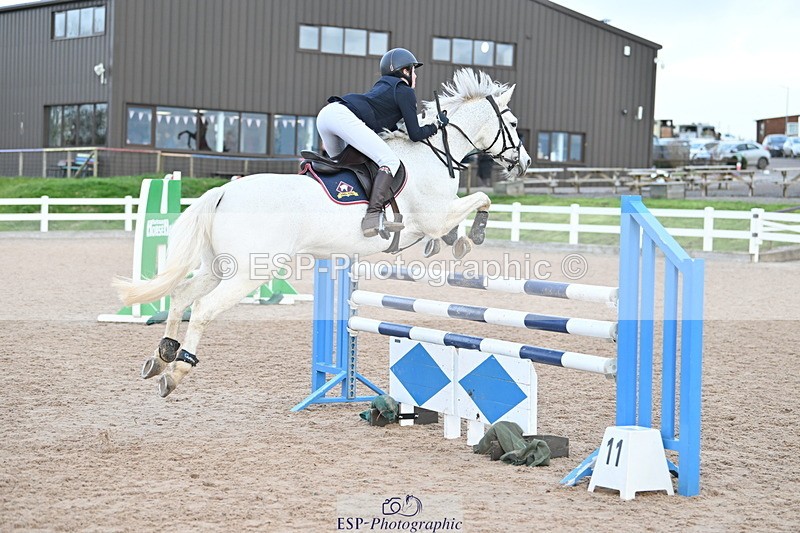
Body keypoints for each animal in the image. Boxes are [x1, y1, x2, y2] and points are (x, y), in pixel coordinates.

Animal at [115, 68, 532, 398]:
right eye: (512, 125)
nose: (525, 162)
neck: (434, 152)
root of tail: (224, 192)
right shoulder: (434, 215)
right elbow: (479, 200)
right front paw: (471, 238)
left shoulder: (432, 220)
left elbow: (456, 222)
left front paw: (452, 243)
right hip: (250, 272)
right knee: (201, 309)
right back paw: (177, 371)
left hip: (220, 266)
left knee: (182, 296)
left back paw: (161, 357)